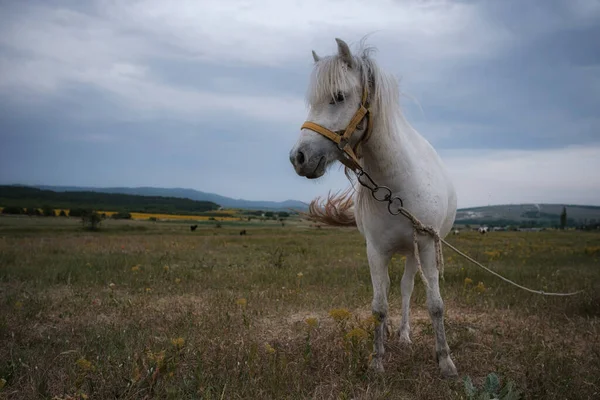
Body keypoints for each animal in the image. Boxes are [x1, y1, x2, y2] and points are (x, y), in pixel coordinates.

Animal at [288, 38, 458, 378]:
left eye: (339, 96)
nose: (298, 157)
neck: (398, 186)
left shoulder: (426, 244)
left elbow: (435, 304)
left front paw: (445, 360)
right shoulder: (376, 250)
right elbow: (378, 305)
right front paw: (377, 360)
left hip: (412, 252)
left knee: (406, 289)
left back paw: (404, 334)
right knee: (394, 289)